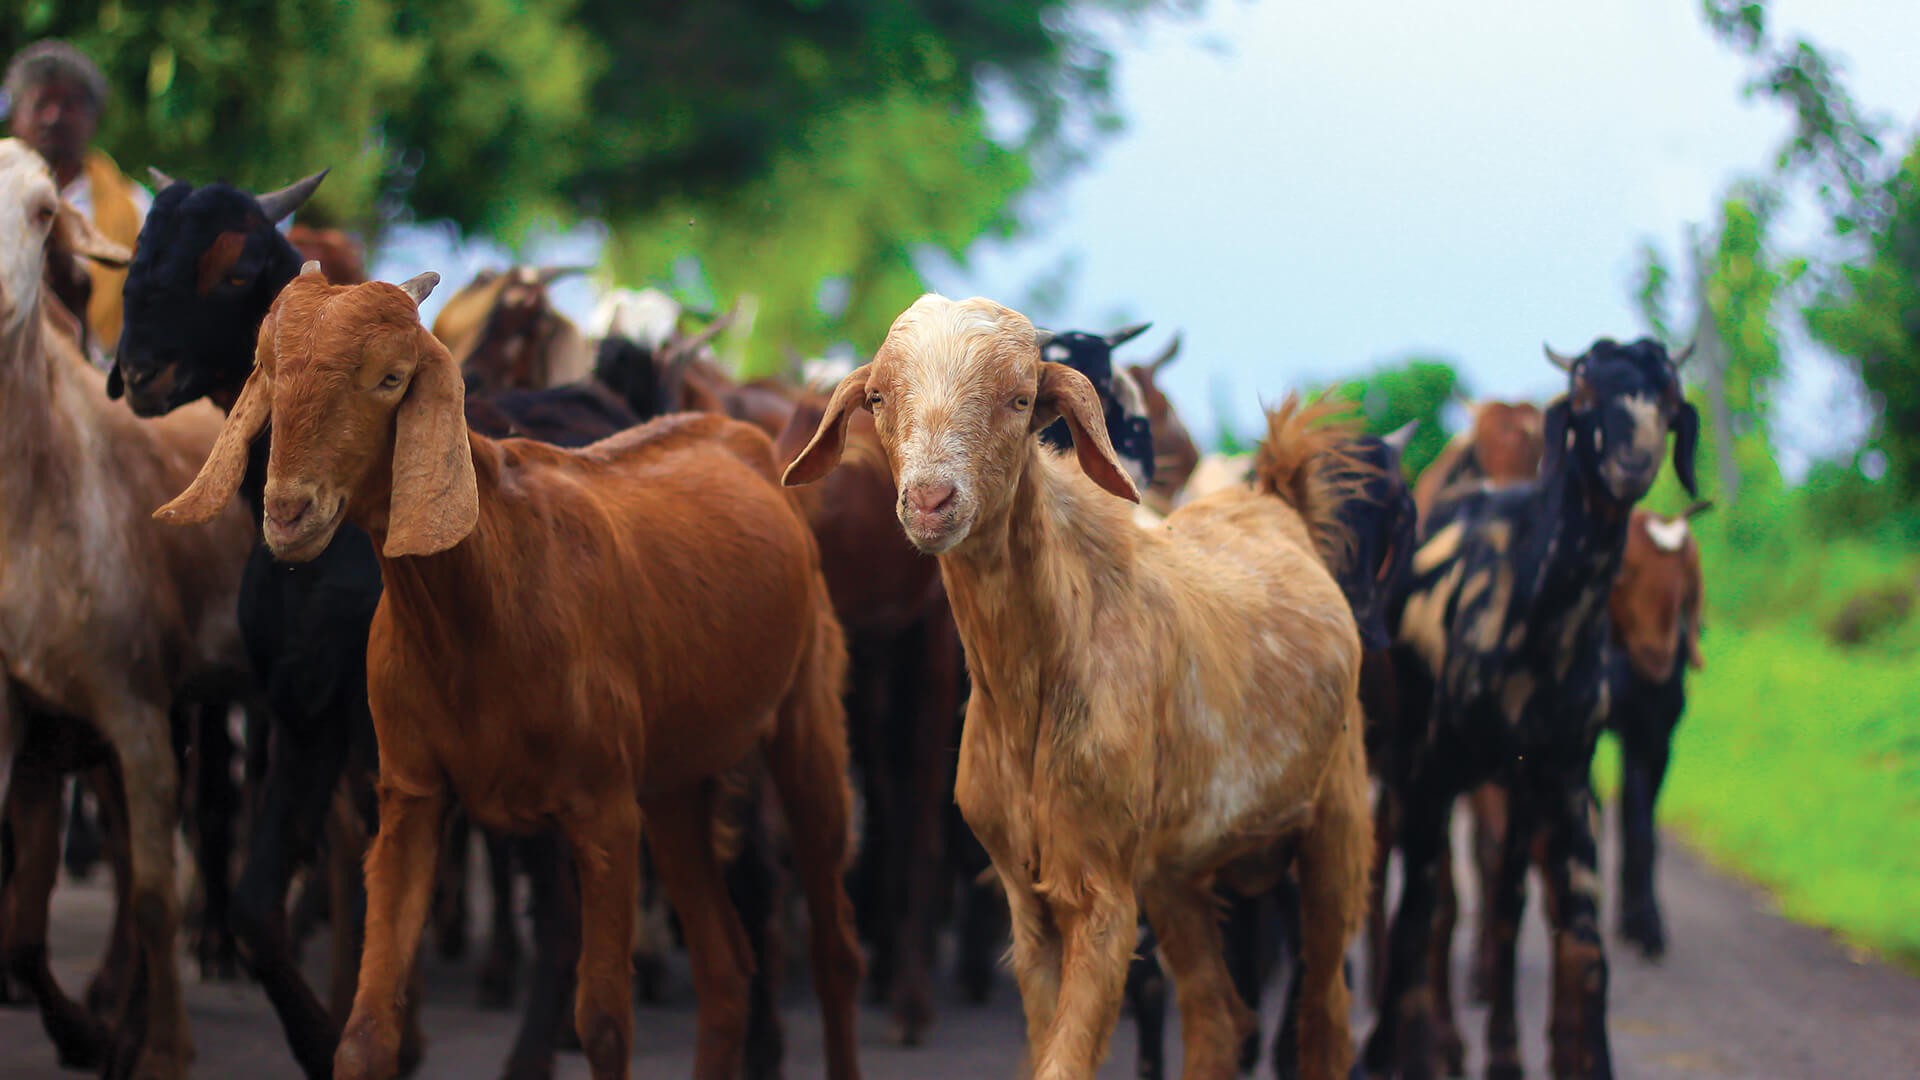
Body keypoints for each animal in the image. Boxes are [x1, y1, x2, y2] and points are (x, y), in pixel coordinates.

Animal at [0, 138, 255, 1077]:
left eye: (45, 212)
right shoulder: (22, 718)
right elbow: (22, 916)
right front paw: (95, 1031)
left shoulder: (135, 702)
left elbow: (148, 893)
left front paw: (159, 1048)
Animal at [157, 268, 864, 1080]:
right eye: (268, 369)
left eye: (391, 378)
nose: (288, 511)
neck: (491, 590)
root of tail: (741, 439)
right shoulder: (410, 792)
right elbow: (366, 1031)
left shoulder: (603, 809)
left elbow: (603, 1022)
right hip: (675, 780)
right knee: (726, 966)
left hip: (805, 722)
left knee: (833, 951)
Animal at [786, 294, 1371, 1080]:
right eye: (878, 397)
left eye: (1019, 398)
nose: (932, 501)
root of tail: (1277, 507)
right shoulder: (1027, 898)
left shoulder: (1103, 895)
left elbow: (1067, 1058)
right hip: (1176, 872)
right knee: (1217, 1013)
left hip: (1337, 827)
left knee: (1324, 1018)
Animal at [1367, 338, 1698, 1079]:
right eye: (1584, 397)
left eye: (1667, 398)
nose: (1632, 461)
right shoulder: (1434, 770)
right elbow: (1425, 911)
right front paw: (1409, 1049)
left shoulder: (1558, 773)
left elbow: (1570, 933)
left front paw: (1552, 1055)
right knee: (1409, 887)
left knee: (1499, 898)